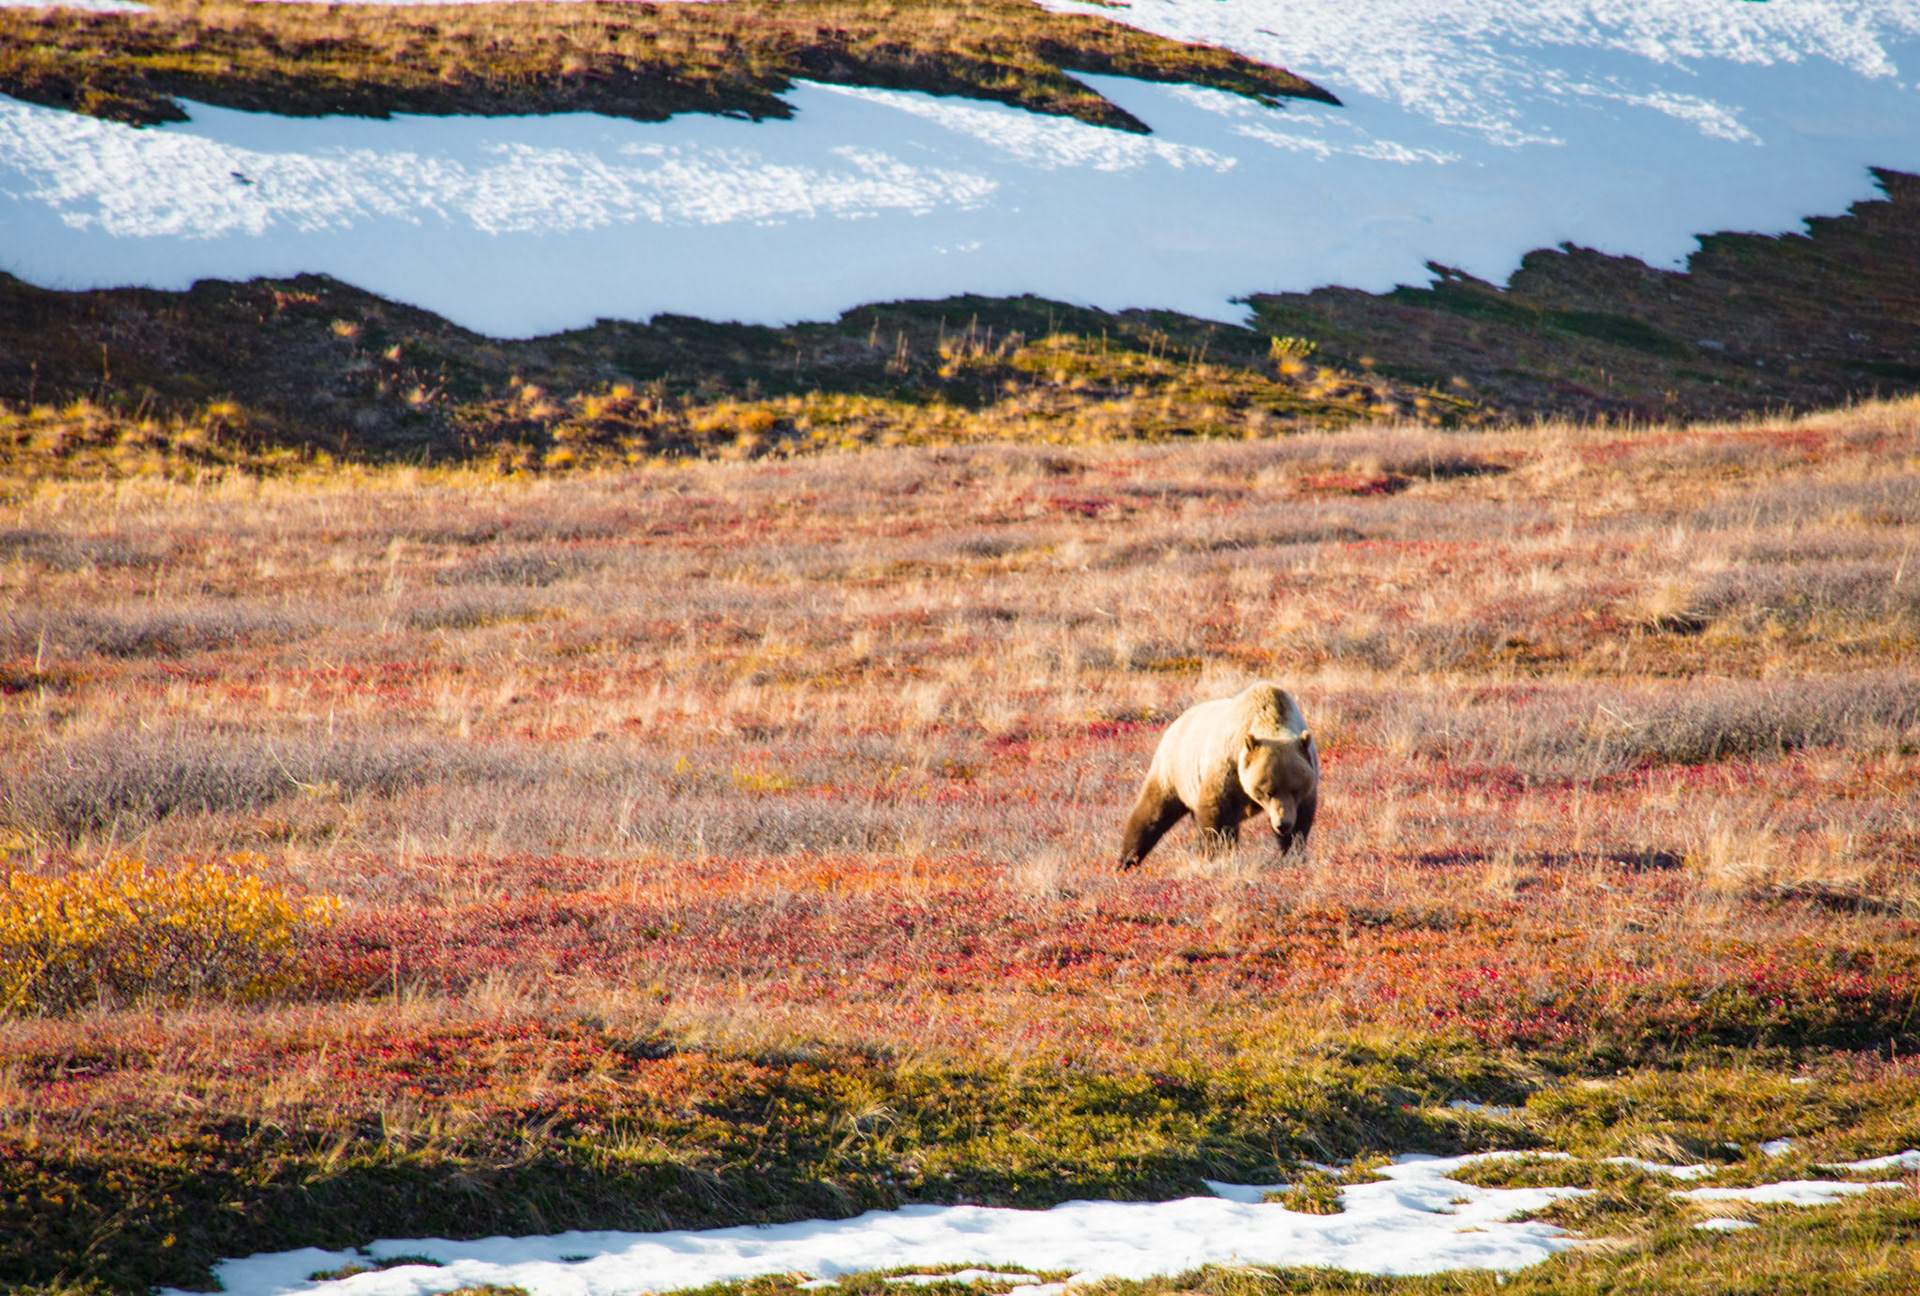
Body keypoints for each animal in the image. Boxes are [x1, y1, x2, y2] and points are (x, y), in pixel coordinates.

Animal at [1118, 682, 1318, 869]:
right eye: (1269, 791)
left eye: (1295, 790)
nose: (1283, 824)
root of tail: (1176, 722)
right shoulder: (1227, 768)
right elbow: (1218, 817)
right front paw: (1220, 856)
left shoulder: (1308, 777)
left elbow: (1301, 820)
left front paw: (1293, 853)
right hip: (1174, 770)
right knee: (1152, 812)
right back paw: (1126, 861)